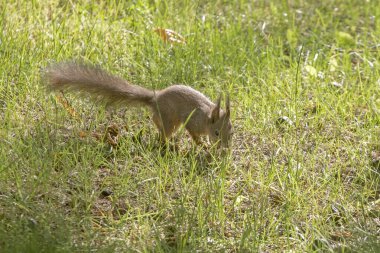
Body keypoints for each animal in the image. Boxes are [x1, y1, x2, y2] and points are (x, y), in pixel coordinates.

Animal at [44, 62, 232, 147]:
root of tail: (155, 97)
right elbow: (193, 134)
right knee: (162, 129)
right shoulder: (192, 122)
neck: (207, 116)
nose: (225, 148)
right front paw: (203, 144)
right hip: (170, 119)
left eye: (231, 131)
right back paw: (168, 144)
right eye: (216, 132)